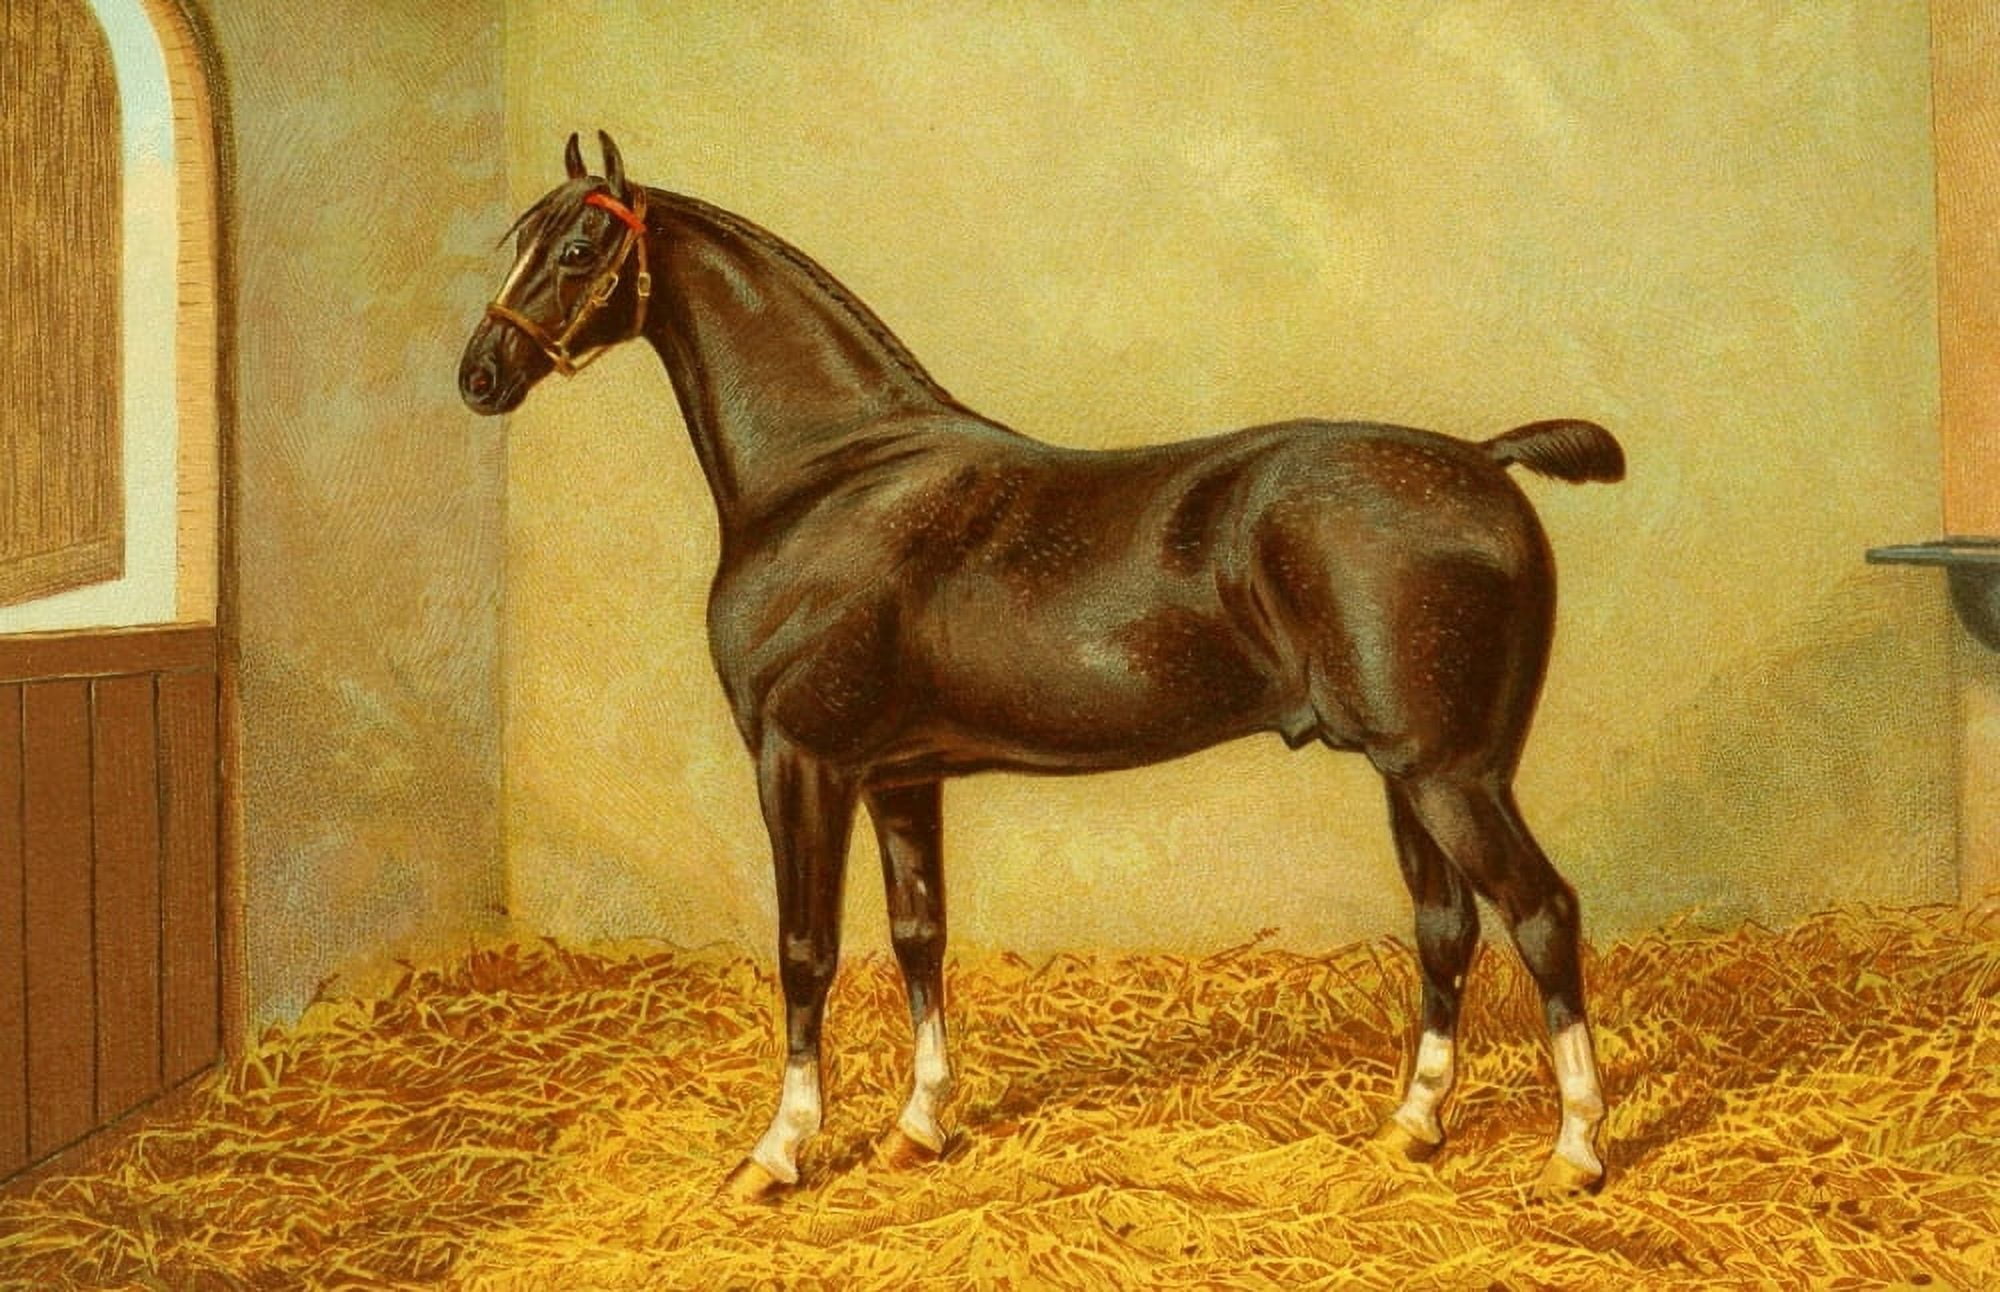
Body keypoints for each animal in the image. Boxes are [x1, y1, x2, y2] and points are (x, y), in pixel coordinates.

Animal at [459, 132, 1625, 1204]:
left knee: (1541, 912)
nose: (479, 374)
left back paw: (1575, 1148)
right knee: (1446, 926)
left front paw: (777, 1151)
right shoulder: (898, 776)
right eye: (520, 241)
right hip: (1407, 774)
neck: (831, 472)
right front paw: (918, 1127)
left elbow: (805, 948)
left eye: (576, 247)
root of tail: (1486, 462)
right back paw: (1412, 1128)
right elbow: (918, 936)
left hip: (1450, 774)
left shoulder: (801, 761)